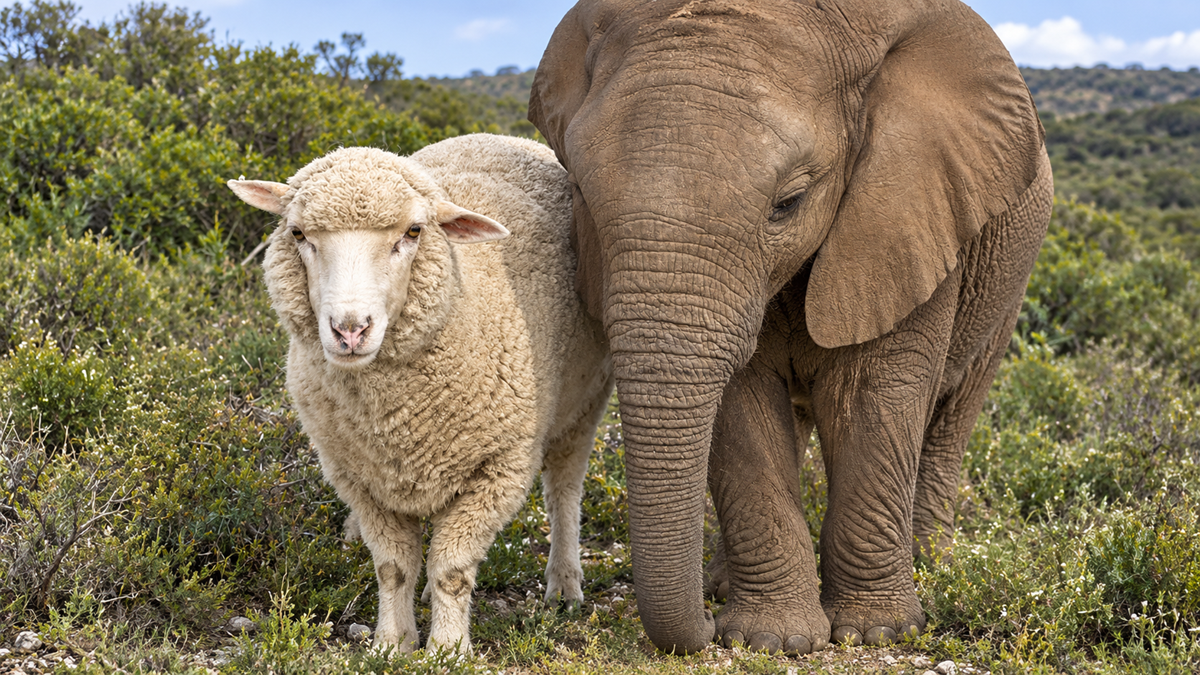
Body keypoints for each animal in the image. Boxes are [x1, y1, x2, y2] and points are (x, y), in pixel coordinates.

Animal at [227, 134, 614, 653]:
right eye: (298, 233)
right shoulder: (359, 475)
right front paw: (392, 642)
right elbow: (393, 566)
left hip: (584, 403)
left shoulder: (499, 467)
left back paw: (565, 585)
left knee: (565, 489)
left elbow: (453, 567)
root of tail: (505, 137)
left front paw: (448, 649)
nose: (350, 330)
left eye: (413, 232)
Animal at [527, 0, 1053, 657]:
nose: (702, 631)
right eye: (579, 193)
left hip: (1009, 277)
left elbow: (872, 397)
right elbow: (741, 407)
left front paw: (876, 631)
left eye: (789, 202)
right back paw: (727, 586)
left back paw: (932, 567)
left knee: (954, 409)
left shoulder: (909, 213)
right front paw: (769, 640)